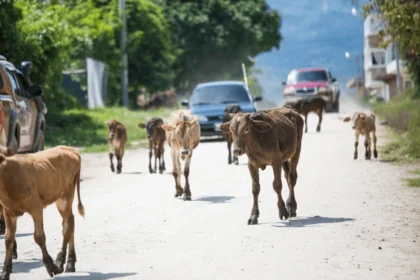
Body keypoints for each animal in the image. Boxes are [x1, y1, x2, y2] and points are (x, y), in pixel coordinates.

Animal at [0, 147, 84, 280]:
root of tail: (69, 149)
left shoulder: (36, 208)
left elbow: (39, 237)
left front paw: (51, 266)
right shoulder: (8, 212)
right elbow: (8, 240)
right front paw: (5, 272)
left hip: (65, 196)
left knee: (68, 225)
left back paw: (60, 261)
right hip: (60, 198)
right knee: (69, 222)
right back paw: (70, 263)